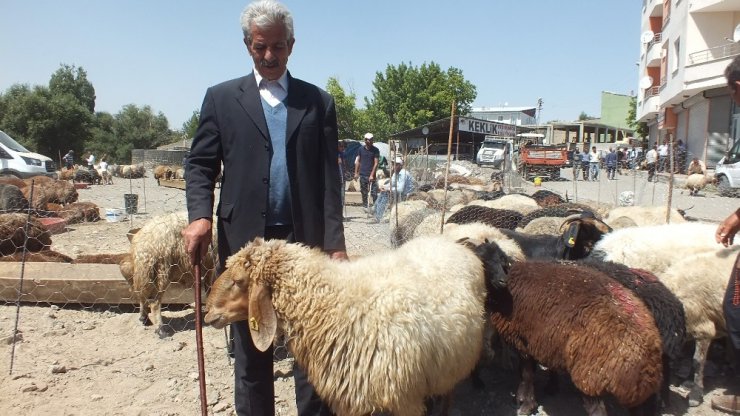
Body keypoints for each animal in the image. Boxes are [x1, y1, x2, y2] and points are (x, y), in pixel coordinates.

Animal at [204, 234, 498, 416]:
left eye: (239, 281)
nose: (207, 311)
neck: (334, 303)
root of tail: (452, 243)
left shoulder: (404, 399)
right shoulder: (351, 398)